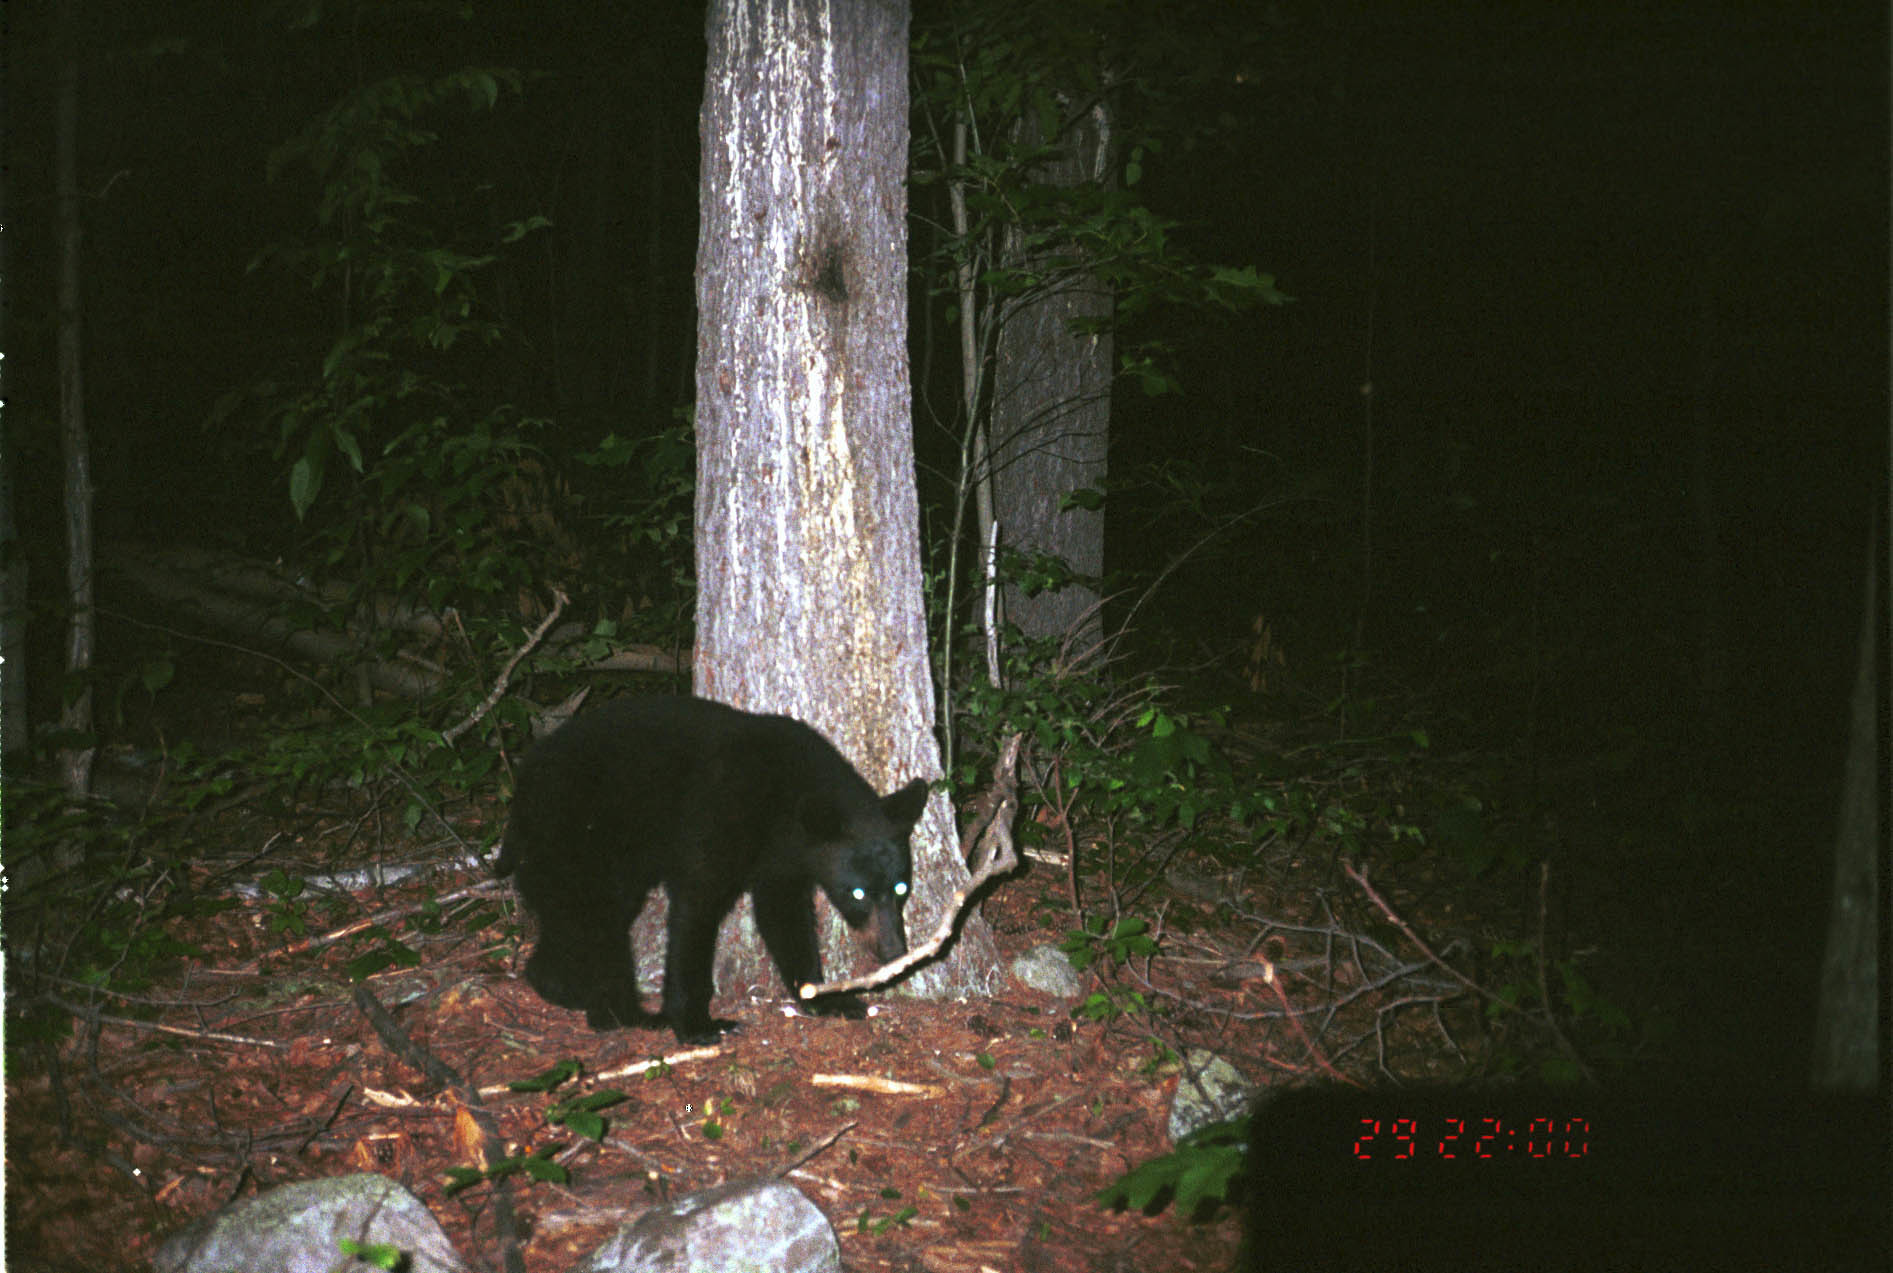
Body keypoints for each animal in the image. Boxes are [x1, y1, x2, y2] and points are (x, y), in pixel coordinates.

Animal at [492, 697, 927, 1045]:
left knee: (575, 920)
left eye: (901, 887)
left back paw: (560, 986)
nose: (894, 951)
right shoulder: (719, 823)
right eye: (857, 893)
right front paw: (696, 1024)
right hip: (577, 838)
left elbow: (785, 920)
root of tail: (522, 788)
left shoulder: (781, 863)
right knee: (597, 923)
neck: (784, 805)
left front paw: (827, 999)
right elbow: (696, 913)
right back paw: (624, 1012)